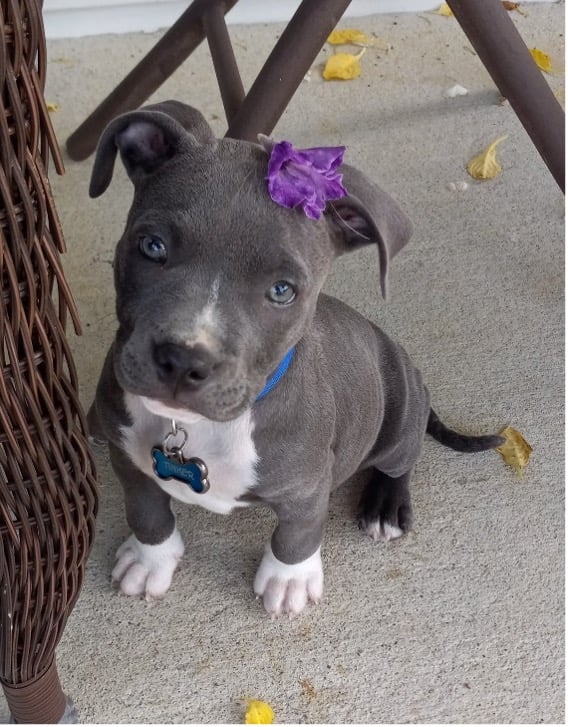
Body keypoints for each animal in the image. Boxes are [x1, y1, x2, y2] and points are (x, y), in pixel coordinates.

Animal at [87, 99, 502, 616]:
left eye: (283, 290)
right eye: (152, 246)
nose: (182, 360)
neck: (199, 428)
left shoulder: (308, 485)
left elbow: (297, 534)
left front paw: (289, 580)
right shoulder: (127, 459)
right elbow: (146, 511)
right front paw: (150, 560)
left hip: (400, 412)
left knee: (401, 461)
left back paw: (385, 506)